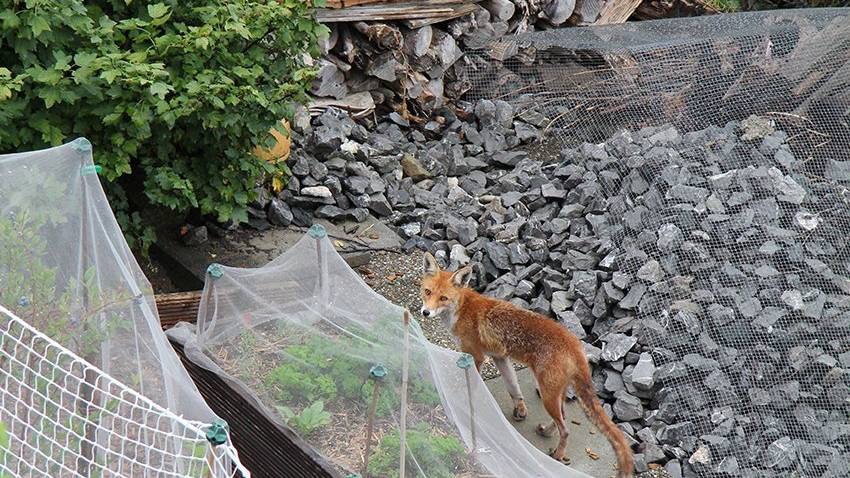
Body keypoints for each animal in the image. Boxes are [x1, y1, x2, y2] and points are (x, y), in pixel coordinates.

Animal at [418, 252, 628, 476]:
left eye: (443, 298)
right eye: (427, 292)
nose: (425, 312)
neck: (461, 309)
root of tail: (575, 343)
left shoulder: (475, 355)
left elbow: (469, 383)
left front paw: (459, 400)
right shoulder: (500, 357)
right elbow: (513, 387)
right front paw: (520, 410)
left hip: (547, 394)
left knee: (566, 429)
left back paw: (558, 455)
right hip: (556, 392)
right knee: (562, 417)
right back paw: (546, 432)